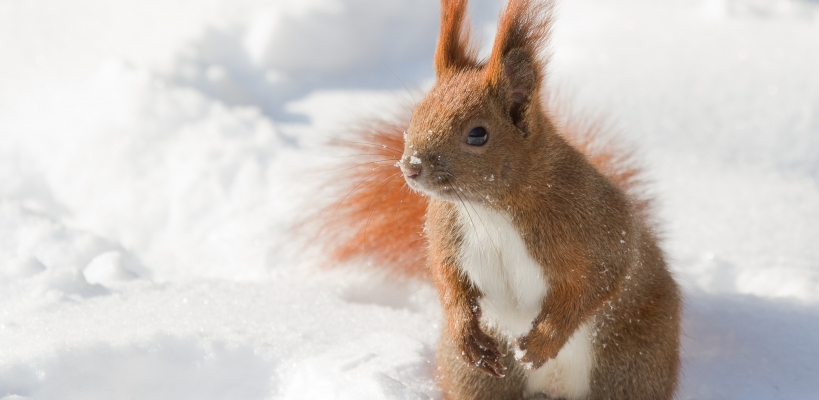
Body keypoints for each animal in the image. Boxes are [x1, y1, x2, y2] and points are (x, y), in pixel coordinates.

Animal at [312, 0, 680, 400]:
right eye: (417, 113)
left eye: (477, 134)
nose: (410, 166)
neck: (490, 208)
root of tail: (553, 390)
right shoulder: (445, 233)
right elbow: (448, 279)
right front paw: (466, 334)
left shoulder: (595, 226)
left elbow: (597, 281)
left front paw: (539, 344)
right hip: (477, 381)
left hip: (632, 364)